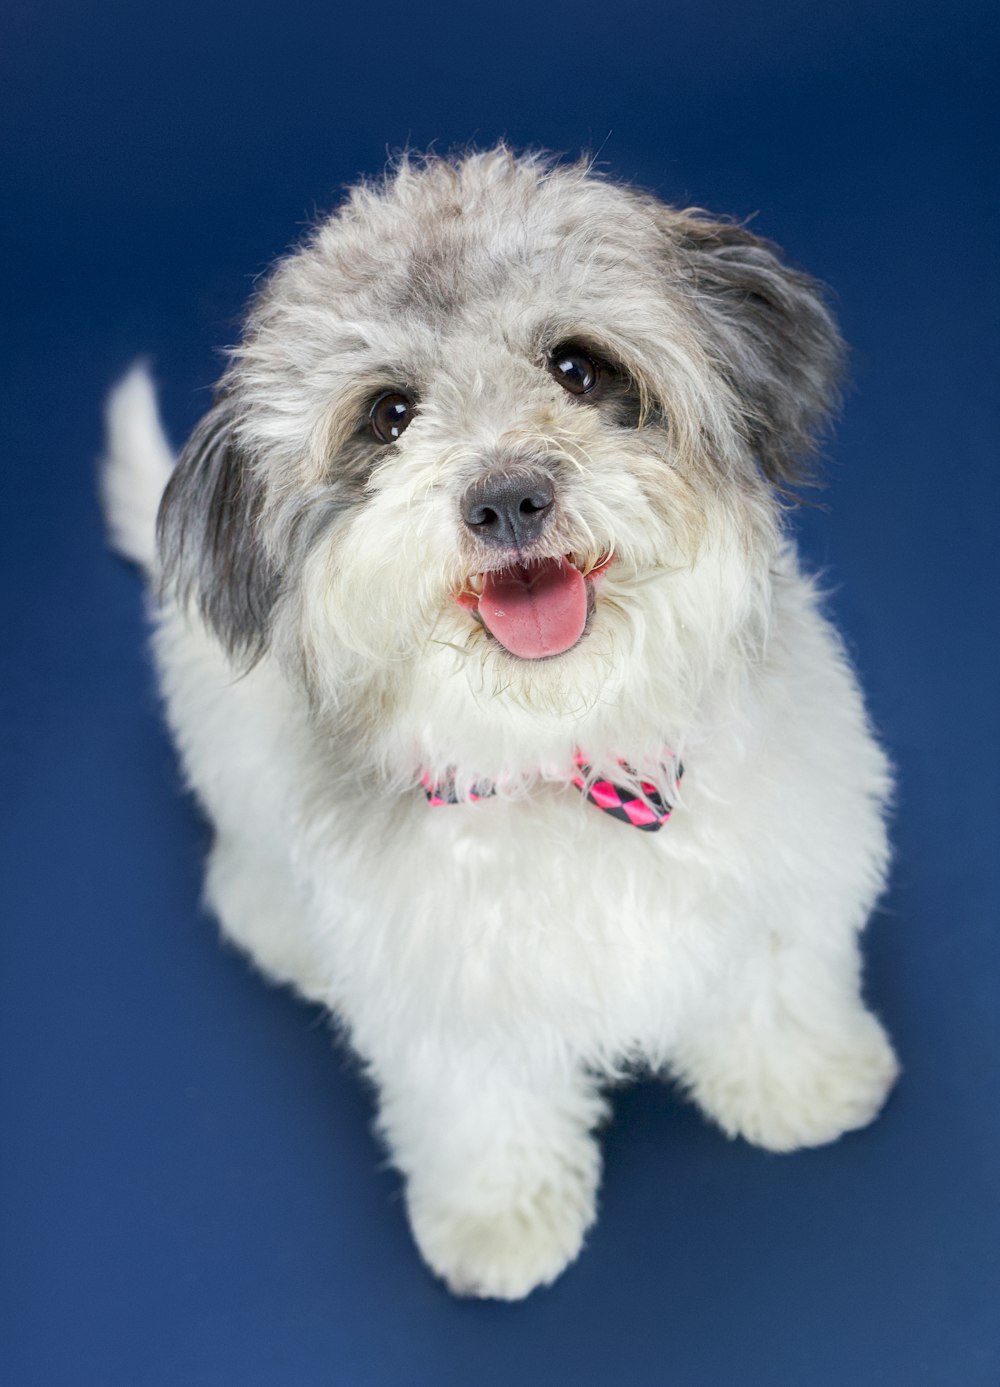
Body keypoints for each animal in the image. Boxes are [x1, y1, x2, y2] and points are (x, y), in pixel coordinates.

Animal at [101, 149, 898, 1298]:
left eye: (577, 368)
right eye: (389, 414)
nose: (507, 498)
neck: (566, 757)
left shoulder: (783, 873)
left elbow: (774, 983)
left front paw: (804, 1082)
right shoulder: (448, 1001)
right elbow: (483, 1114)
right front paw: (501, 1222)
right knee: (245, 882)